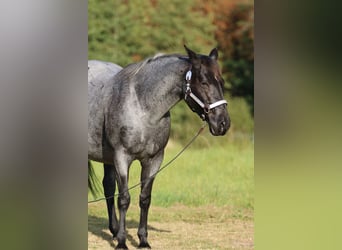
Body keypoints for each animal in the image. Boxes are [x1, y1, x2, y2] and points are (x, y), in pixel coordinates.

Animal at [87, 45, 230, 248]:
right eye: (203, 82)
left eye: (221, 81)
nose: (223, 123)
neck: (142, 107)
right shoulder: (122, 157)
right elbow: (124, 199)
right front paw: (122, 242)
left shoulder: (154, 160)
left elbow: (145, 198)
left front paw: (143, 240)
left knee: (108, 187)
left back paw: (113, 230)